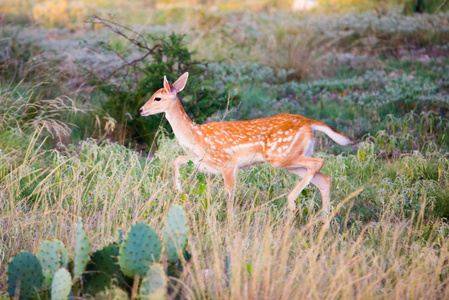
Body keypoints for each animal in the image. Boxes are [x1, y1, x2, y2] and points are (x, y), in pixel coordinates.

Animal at [140, 72, 354, 213]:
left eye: (157, 98)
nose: (141, 110)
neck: (196, 136)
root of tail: (310, 123)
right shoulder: (204, 163)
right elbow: (176, 160)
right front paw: (179, 190)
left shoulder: (228, 163)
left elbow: (229, 198)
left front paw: (229, 225)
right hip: (291, 161)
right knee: (324, 179)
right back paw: (324, 224)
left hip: (281, 155)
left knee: (319, 163)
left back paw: (292, 201)